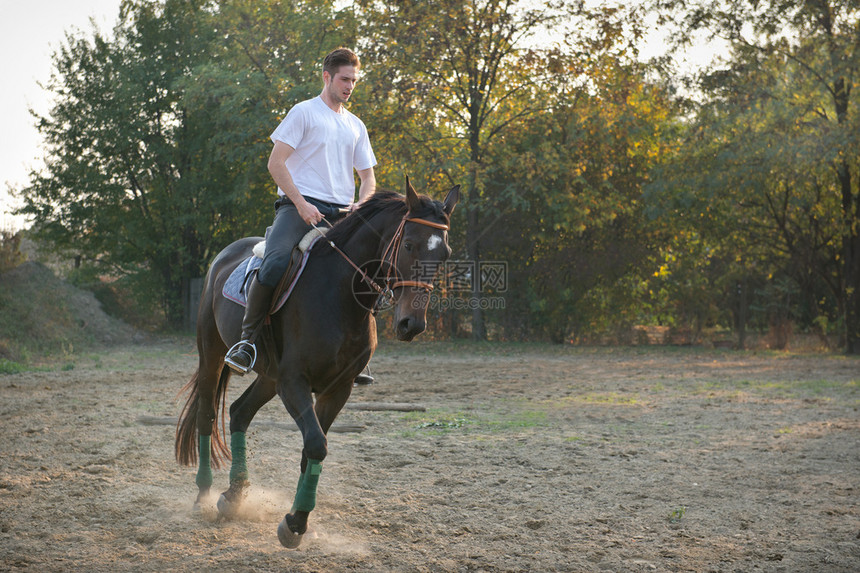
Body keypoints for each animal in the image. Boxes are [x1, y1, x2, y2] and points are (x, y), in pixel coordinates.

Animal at [173, 179, 456, 544]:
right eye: (408, 245)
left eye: (444, 254)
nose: (413, 325)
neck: (339, 294)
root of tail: (224, 256)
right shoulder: (294, 383)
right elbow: (317, 445)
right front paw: (295, 523)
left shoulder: (337, 390)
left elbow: (310, 452)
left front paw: (297, 520)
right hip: (212, 355)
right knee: (207, 416)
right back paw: (204, 495)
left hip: (268, 377)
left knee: (238, 413)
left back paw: (234, 495)